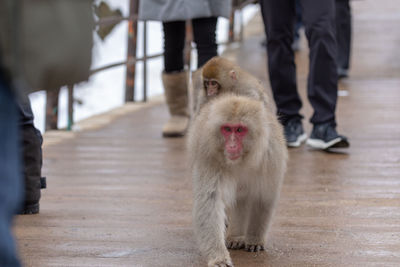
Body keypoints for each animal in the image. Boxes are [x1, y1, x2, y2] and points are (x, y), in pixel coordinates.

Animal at [188, 94, 288, 267]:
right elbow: (210, 201)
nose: (232, 146)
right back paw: (236, 236)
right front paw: (218, 257)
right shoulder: (209, 157)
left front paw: (254, 239)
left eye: (240, 130)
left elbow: (262, 198)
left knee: (243, 198)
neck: (241, 161)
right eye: (227, 129)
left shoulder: (270, 157)